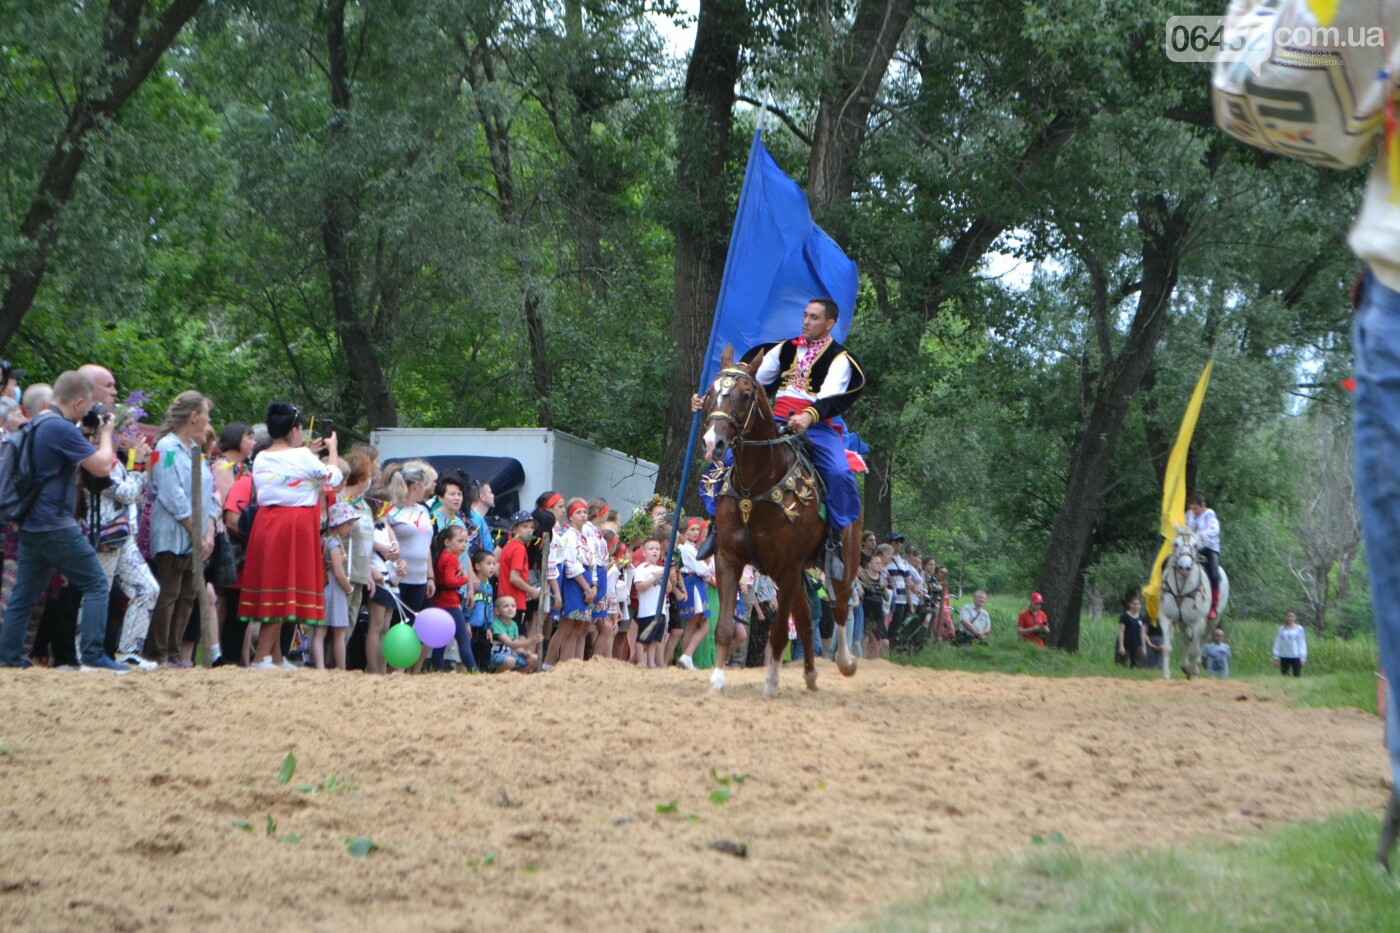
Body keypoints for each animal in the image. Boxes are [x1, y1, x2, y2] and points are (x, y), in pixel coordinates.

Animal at [705, 341, 856, 689]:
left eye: (746, 394)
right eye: (710, 392)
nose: (712, 442)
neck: (755, 485)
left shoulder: (788, 567)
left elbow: (777, 633)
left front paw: (771, 683)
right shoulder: (729, 557)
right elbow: (725, 628)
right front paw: (717, 680)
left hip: (841, 565)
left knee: (840, 609)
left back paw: (844, 663)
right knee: (806, 618)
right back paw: (810, 675)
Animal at [1153, 523, 1232, 683]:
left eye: (1195, 545)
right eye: (1176, 544)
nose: (1184, 568)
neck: (1181, 589)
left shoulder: (1198, 622)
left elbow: (1196, 650)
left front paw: (1194, 673)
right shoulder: (1166, 618)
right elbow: (1167, 648)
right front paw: (1166, 675)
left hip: (1212, 621)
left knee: (1202, 641)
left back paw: (1193, 669)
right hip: (1183, 622)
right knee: (1187, 639)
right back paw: (1185, 666)